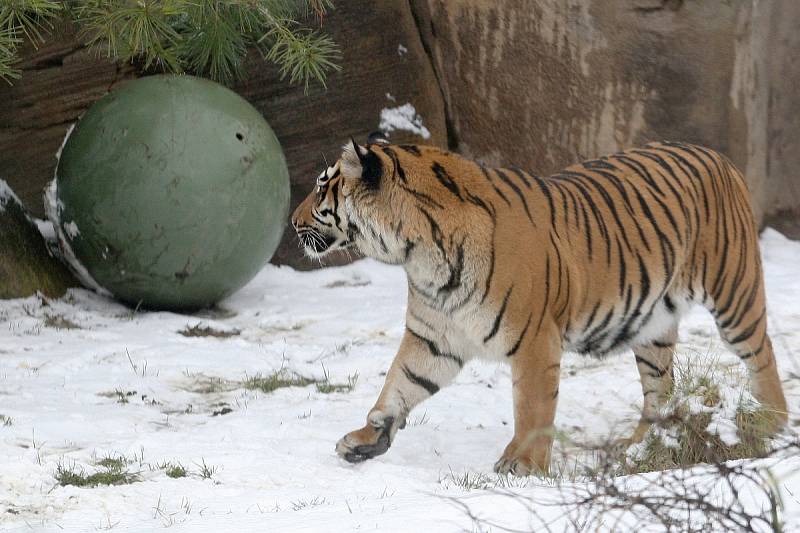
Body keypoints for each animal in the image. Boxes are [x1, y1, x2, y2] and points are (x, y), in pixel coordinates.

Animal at [290, 133, 788, 474]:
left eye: (321, 187)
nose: (292, 222)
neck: (417, 253)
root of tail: (717, 155)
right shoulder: (433, 337)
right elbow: (399, 386)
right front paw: (365, 440)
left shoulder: (533, 340)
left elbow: (531, 406)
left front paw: (524, 466)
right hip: (652, 326)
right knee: (659, 389)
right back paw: (642, 449)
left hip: (734, 293)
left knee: (761, 354)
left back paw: (772, 425)